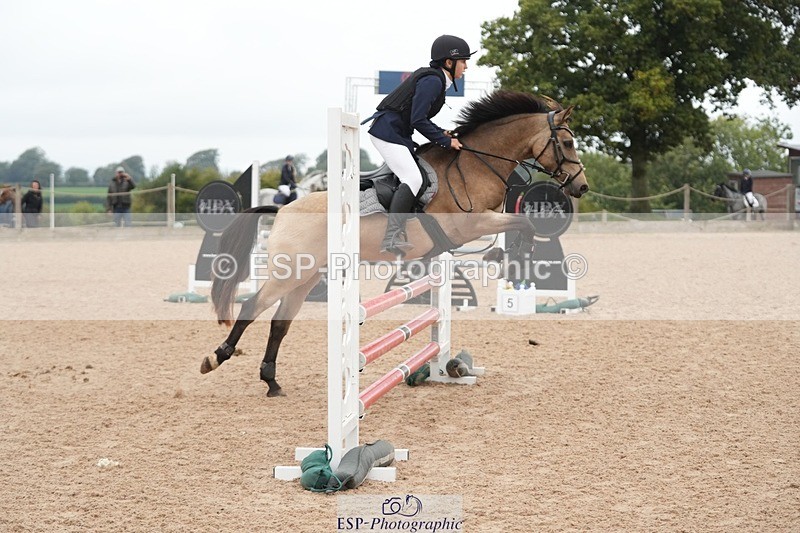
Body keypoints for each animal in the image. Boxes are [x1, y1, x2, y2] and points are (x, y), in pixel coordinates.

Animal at [199, 91, 590, 397]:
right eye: (567, 143)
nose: (582, 186)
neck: (475, 166)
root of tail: (282, 210)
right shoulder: (471, 223)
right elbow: (524, 222)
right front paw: (511, 254)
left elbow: (521, 224)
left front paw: (506, 254)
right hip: (290, 272)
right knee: (252, 307)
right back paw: (215, 358)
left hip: (307, 276)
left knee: (280, 323)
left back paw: (271, 382)